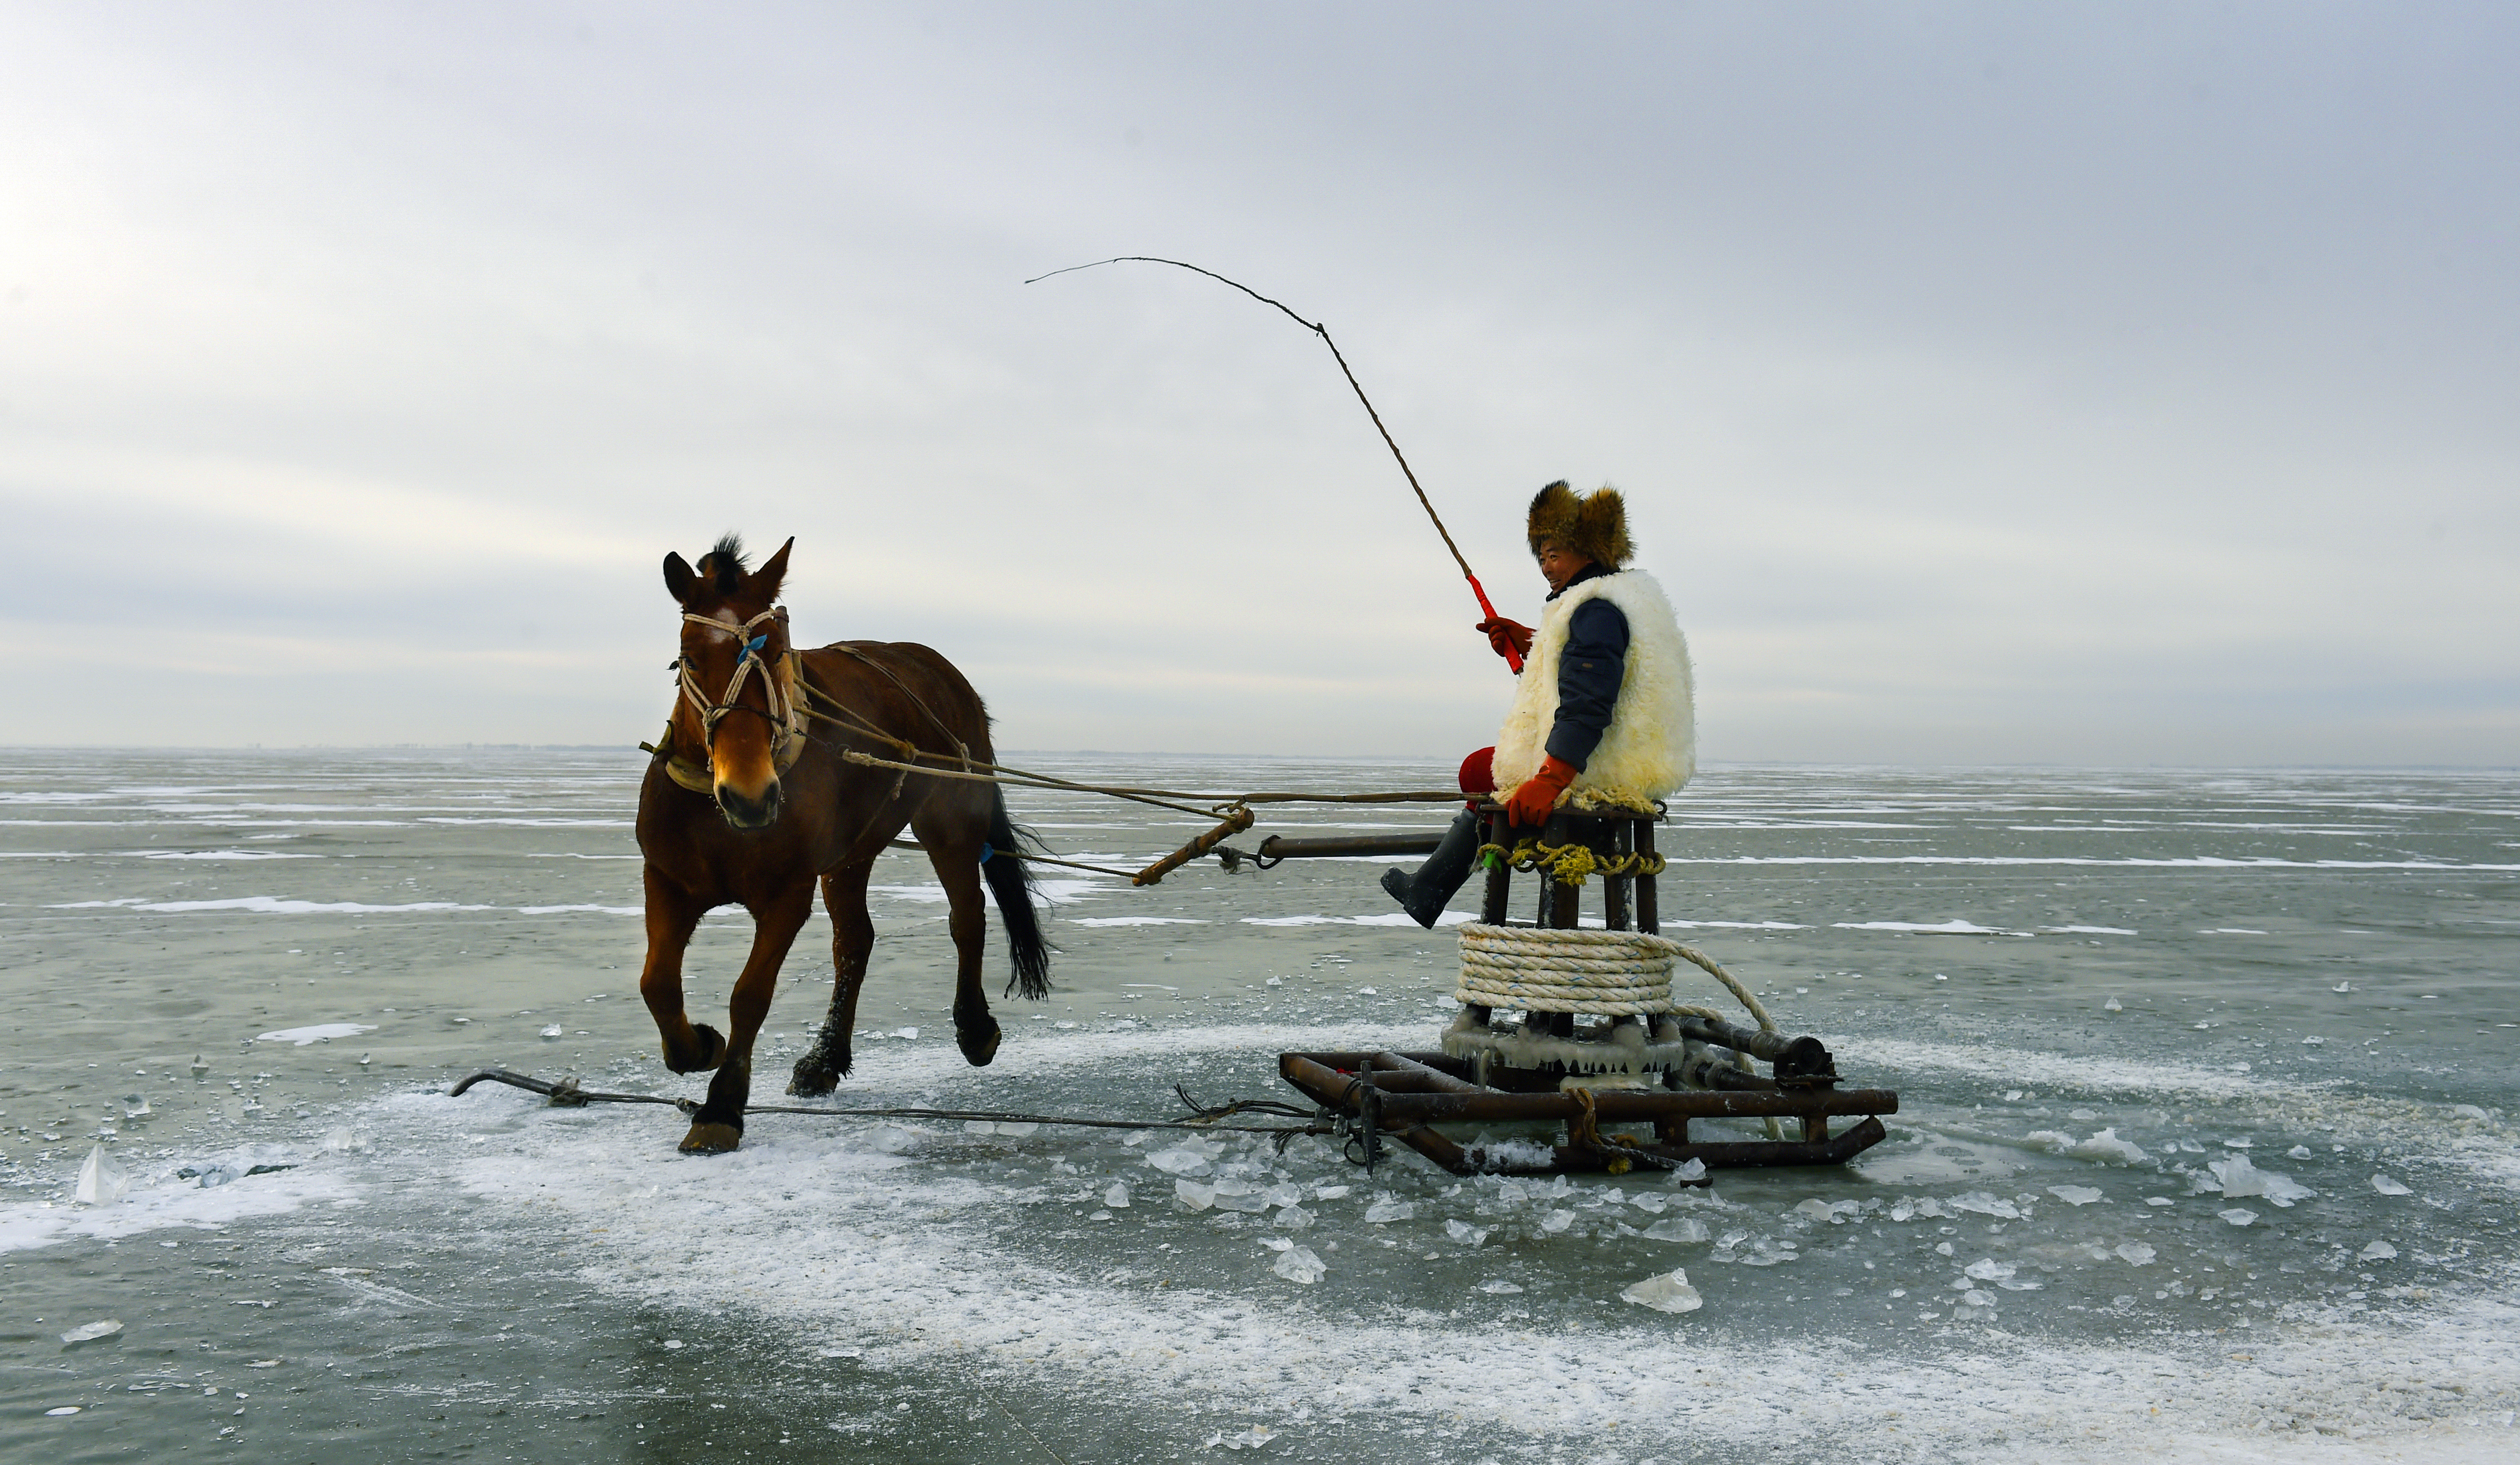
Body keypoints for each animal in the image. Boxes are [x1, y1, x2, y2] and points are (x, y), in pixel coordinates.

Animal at [645, 532, 1058, 1149]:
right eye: (691, 655)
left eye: (776, 653)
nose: (750, 794)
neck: (718, 817)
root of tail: (943, 670)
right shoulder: (668, 881)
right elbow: (657, 985)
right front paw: (696, 1046)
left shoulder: (786, 896)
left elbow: (750, 994)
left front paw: (722, 1105)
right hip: (850, 852)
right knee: (855, 942)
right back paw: (824, 1058)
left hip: (949, 824)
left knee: (967, 915)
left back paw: (974, 1026)